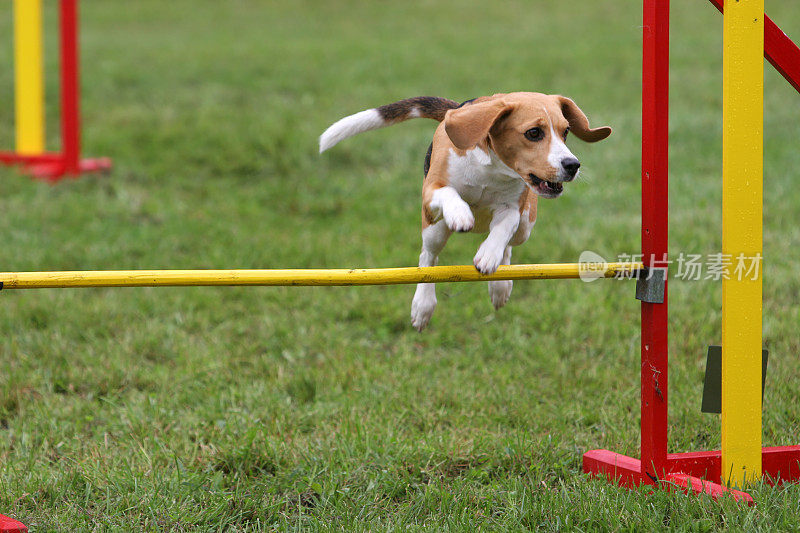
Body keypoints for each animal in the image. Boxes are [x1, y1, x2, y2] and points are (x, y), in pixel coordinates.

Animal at [320, 93, 612, 330]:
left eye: (565, 132)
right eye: (533, 133)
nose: (572, 165)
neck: (492, 168)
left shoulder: (513, 208)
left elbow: (504, 227)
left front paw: (488, 256)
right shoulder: (432, 191)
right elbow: (449, 194)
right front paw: (460, 213)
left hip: (527, 224)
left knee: (510, 244)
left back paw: (500, 285)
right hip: (434, 229)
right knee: (428, 259)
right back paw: (423, 305)